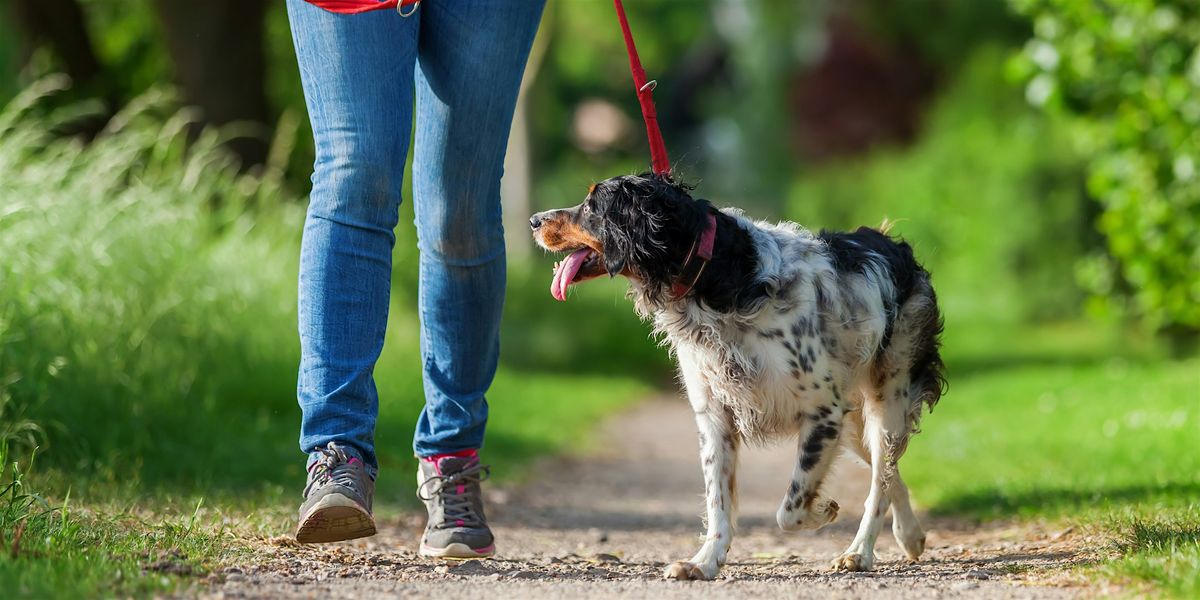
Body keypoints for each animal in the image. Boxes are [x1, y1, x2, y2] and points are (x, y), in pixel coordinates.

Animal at [530, 174, 940, 580]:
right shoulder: (716, 416)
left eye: (591, 206)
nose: (534, 220)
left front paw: (823, 509)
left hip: (886, 402)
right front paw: (705, 562)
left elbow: (790, 509)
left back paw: (859, 551)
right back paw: (910, 535)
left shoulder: (822, 412)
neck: (719, 276)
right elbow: (719, 501)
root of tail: (890, 243)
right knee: (888, 472)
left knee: (880, 480)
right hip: (854, 423)